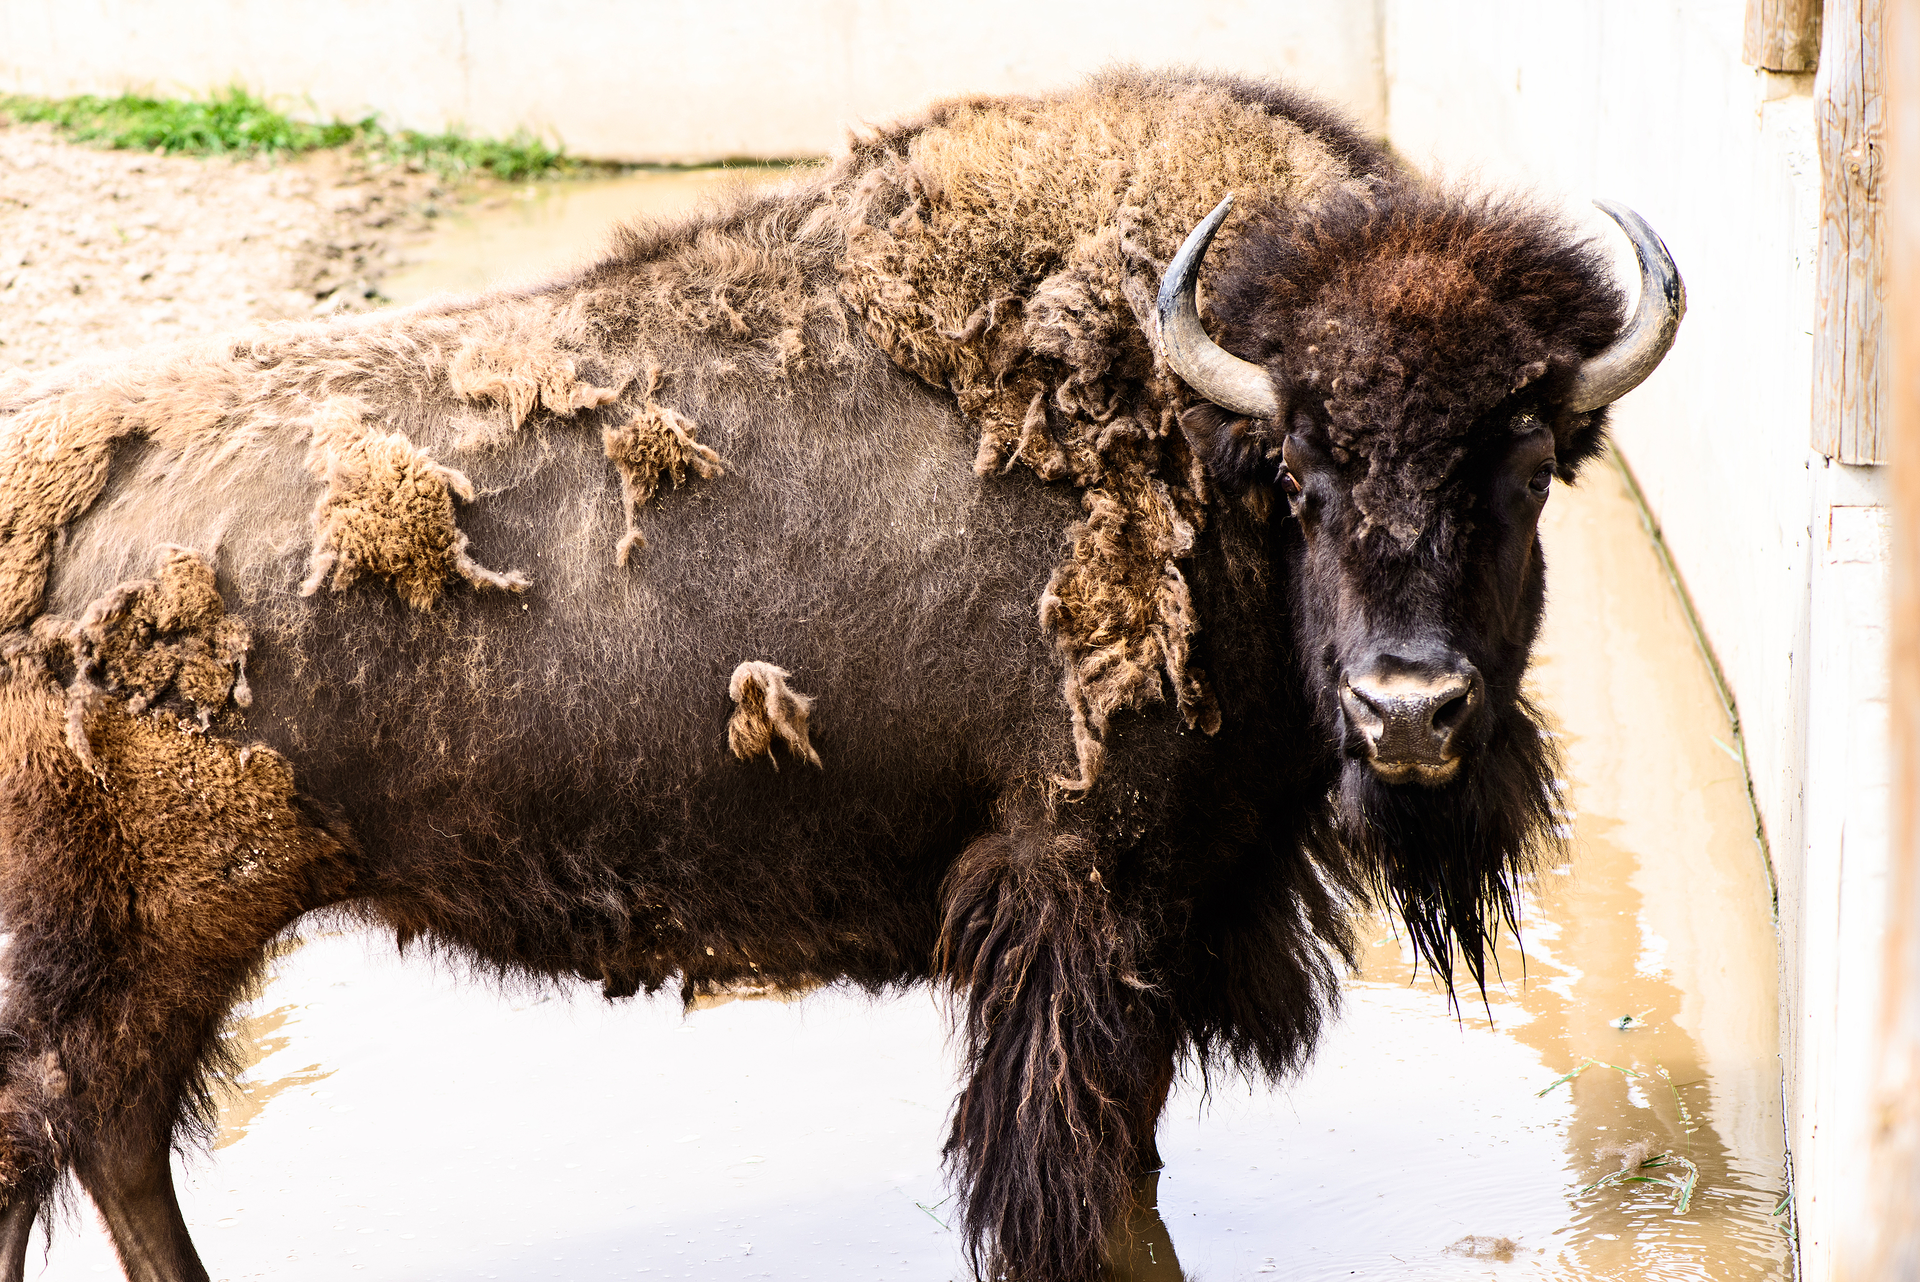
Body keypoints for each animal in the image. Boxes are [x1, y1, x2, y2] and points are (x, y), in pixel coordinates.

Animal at [0, 68, 1680, 1281]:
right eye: (1302, 472)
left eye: (1526, 460)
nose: (1411, 711)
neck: (1207, 433)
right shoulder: (1080, 906)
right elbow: (1079, 1184)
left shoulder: (1168, 924)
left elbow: (1128, 1155)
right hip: (136, 942)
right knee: (74, 1132)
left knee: (107, 1140)